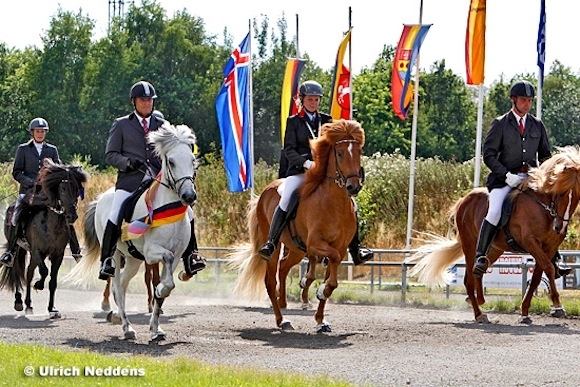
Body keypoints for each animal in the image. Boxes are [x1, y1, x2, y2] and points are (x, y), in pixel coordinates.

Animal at [0, 159, 87, 320]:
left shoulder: (58, 255)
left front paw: (52, 309)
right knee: (16, 270)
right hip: (17, 247)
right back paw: (19, 301)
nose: (72, 216)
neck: (52, 224)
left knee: (28, 273)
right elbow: (45, 271)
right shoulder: (37, 250)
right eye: (63, 189)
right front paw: (39, 285)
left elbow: (52, 281)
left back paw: (29, 305)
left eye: (77, 189)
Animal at [65, 124, 198, 342]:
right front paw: (160, 290)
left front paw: (156, 328)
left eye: (192, 160)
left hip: (134, 259)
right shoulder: (153, 252)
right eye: (171, 161)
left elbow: (165, 288)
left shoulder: (178, 254)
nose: (189, 196)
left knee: (123, 284)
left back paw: (118, 317)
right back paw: (126, 327)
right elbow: (165, 276)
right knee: (117, 287)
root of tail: (102, 197)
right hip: (116, 255)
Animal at [229, 119, 364, 334]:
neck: (334, 203)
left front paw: (320, 318)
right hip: (275, 246)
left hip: (296, 249)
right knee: (270, 280)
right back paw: (281, 320)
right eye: (340, 153)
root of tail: (265, 192)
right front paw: (317, 289)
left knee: (284, 267)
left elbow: (331, 277)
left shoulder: (340, 247)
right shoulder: (316, 243)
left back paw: (284, 302)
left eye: (359, 151)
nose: (354, 186)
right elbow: (330, 265)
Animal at [408, 146, 580, 324]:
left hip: (496, 248)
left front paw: (526, 312)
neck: (544, 208)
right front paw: (557, 305)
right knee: (469, 279)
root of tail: (463, 200)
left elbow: (538, 277)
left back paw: (478, 299)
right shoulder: (530, 242)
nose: (560, 227)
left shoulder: (549, 247)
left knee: (479, 270)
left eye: (577, 195)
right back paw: (479, 314)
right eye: (560, 193)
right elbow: (548, 269)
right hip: (470, 245)